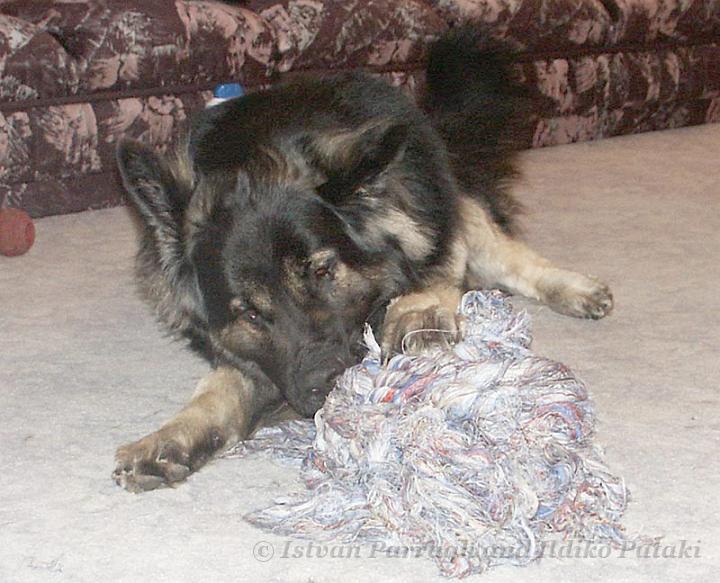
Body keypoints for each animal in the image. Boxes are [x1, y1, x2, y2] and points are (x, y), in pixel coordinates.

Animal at [114, 28, 612, 492]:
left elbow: (438, 268)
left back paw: (574, 287)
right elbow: (225, 382)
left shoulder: (428, 210)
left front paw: (417, 312)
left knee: (504, 251)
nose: (325, 385)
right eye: (249, 313)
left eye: (322, 271)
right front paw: (172, 435)